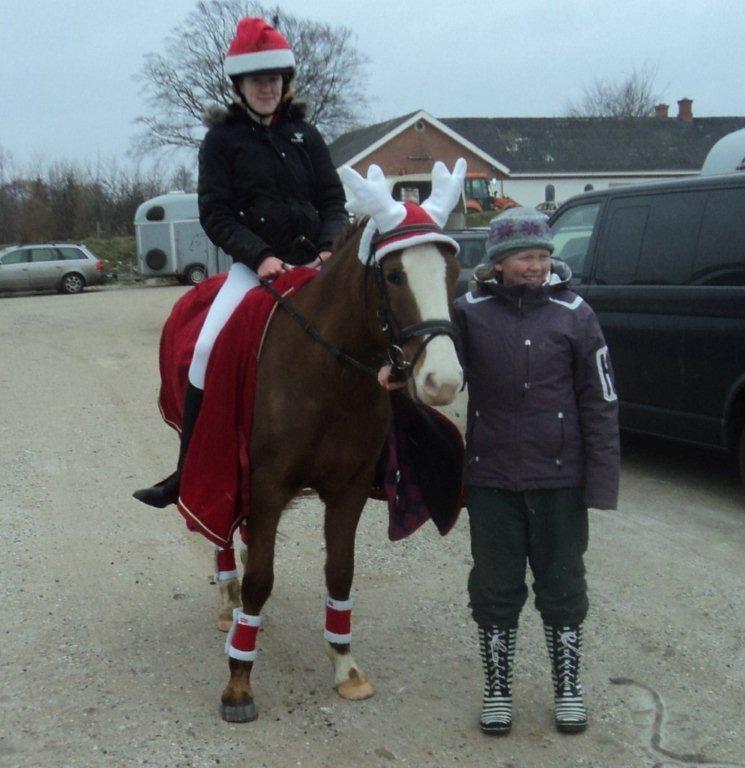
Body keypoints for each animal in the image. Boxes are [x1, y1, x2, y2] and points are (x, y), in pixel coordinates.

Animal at [157, 159, 462, 724]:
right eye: (393, 275)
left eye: (452, 273)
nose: (443, 381)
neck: (327, 373)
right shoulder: (268, 484)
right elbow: (261, 578)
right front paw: (239, 681)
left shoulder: (347, 491)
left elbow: (339, 573)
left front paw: (345, 667)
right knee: (219, 530)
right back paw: (228, 599)